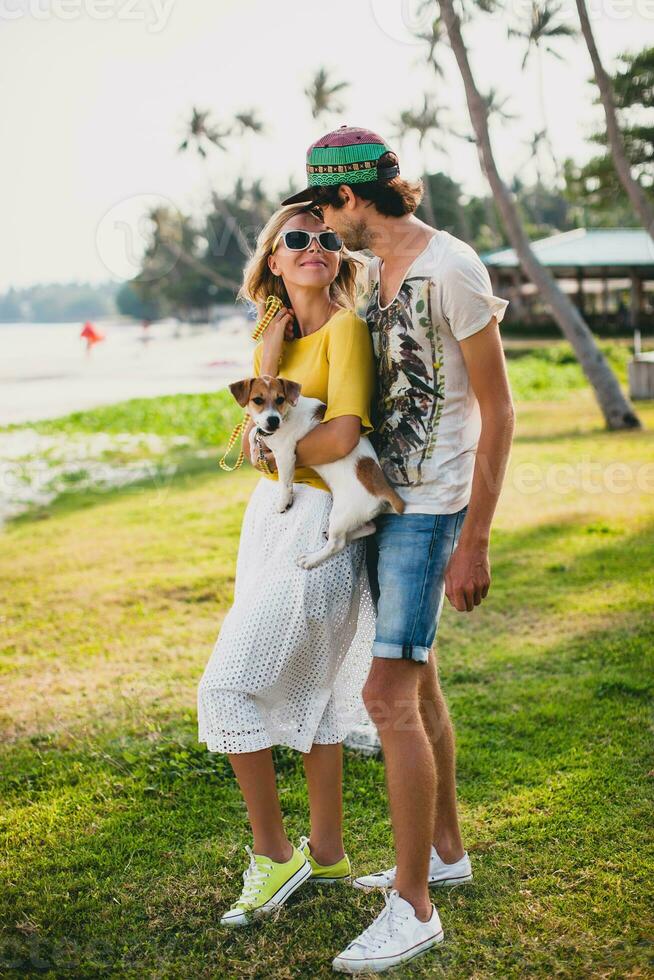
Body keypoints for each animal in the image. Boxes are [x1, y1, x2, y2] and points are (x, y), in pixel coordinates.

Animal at [229, 378, 404, 576]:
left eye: (280, 399)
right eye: (257, 400)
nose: (273, 421)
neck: (288, 413)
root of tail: (382, 488)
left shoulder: (285, 453)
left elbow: (285, 483)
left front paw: (284, 502)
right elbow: (254, 433)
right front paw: (253, 446)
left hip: (340, 514)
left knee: (337, 544)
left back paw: (311, 559)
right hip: (353, 516)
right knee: (369, 528)